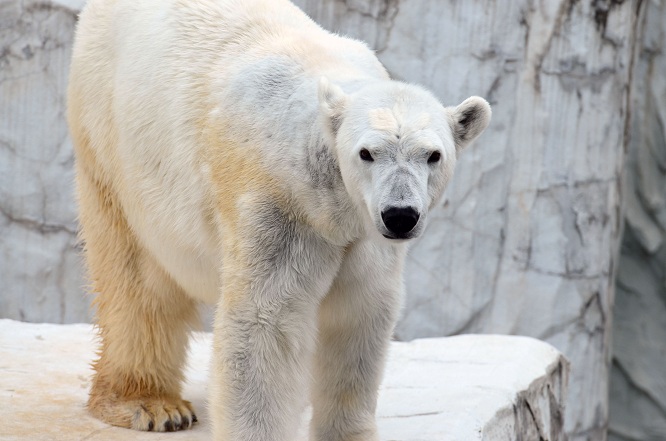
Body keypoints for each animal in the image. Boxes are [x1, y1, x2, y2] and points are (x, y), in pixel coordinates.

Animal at [68, 0, 488, 438]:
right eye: (366, 153)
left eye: (433, 155)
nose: (400, 216)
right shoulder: (278, 206)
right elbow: (264, 320)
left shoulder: (364, 236)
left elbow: (359, 314)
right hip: (112, 144)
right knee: (135, 275)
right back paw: (150, 403)